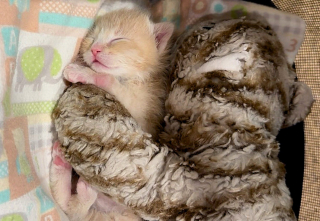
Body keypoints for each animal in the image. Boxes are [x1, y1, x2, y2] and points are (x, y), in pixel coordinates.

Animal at [50, 0, 174, 220]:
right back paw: (62, 165)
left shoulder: (141, 109)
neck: (136, 78)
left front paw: (82, 72)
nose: (95, 50)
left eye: (118, 39)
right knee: (71, 208)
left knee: (75, 210)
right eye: (91, 39)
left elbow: (108, 79)